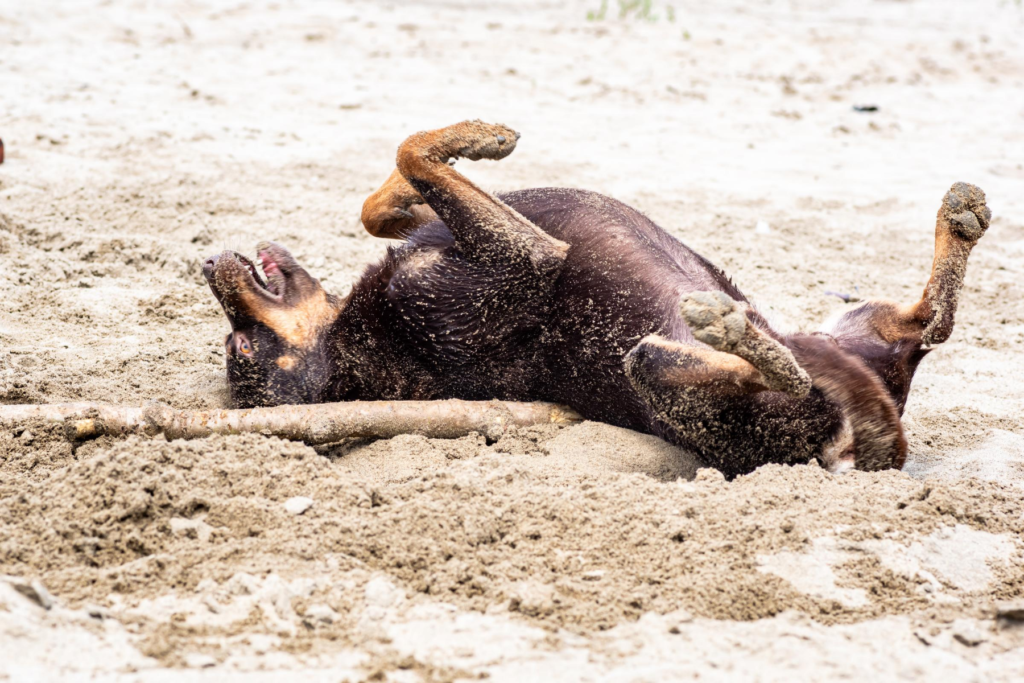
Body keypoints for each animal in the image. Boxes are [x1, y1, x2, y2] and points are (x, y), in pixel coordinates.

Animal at [201, 120, 991, 479]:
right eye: (239, 349)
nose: (206, 260)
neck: (352, 345)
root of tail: (872, 445)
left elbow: (386, 196)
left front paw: (469, 142)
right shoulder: (525, 259)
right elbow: (409, 152)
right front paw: (480, 137)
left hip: (853, 326)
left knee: (931, 322)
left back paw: (960, 219)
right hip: (678, 379)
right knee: (785, 376)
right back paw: (729, 329)